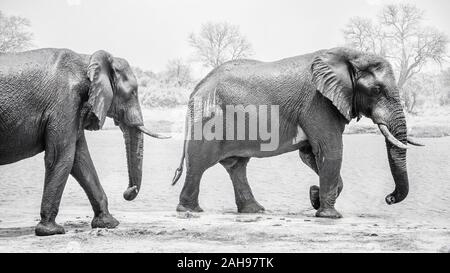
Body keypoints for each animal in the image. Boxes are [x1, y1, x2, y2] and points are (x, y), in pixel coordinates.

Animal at [0, 47, 169, 235]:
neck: (88, 61)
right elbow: (62, 157)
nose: (128, 191)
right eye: (132, 92)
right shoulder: (64, 102)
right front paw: (52, 231)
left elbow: (80, 159)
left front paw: (108, 223)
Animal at [171, 46, 422, 217]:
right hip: (209, 121)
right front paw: (329, 215)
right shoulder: (318, 103)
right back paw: (190, 210)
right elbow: (330, 150)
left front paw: (314, 197)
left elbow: (310, 154)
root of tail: (196, 89)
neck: (348, 54)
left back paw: (255, 210)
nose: (388, 198)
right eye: (377, 90)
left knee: (237, 166)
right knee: (200, 163)